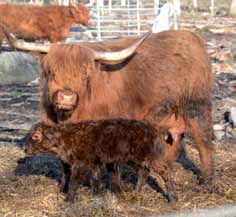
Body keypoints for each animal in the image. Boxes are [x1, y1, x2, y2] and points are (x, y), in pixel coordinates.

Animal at [25, 119, 177, 203]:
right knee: (143, 172)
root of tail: (155, 129)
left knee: (164, 171)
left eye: (36, 136)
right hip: (136, 159)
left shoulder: (81, 164)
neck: (65, 138)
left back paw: (172, 197)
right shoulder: (93, 162)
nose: (25, 149)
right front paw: (97, 196)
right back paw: (136, 192)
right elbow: (95, 179)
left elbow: (74, 181)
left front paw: (68, 200)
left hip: (148, 156)